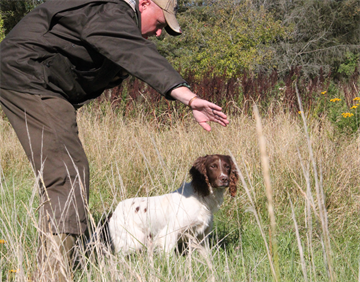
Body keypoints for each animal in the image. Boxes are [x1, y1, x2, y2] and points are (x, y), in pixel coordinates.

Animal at [107, 155, 239, 254]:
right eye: (212, 166)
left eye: (227, 166)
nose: (224, 179)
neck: (200, 197)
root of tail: (115, 210)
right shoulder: (169, 233)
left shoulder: (201, 236)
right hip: (131, 241)